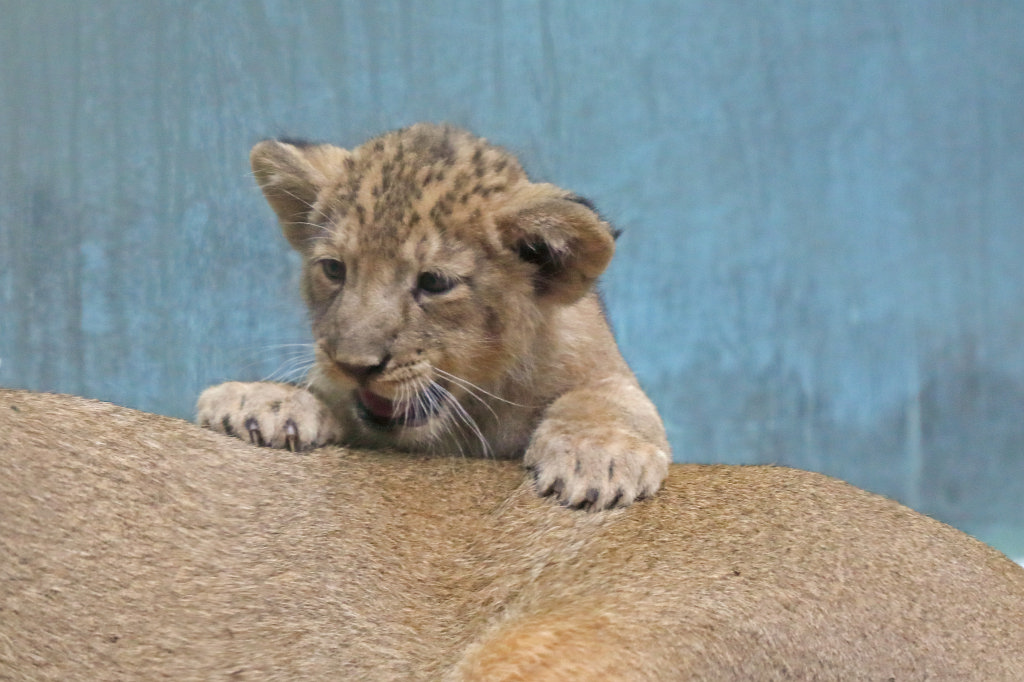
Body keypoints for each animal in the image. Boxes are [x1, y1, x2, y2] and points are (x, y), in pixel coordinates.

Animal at [196, 123, 669, 510]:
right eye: (334, 269)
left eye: (434, 283)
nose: (354, 366)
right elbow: (322, 391)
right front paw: (262, 401)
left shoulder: (603, 369)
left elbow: (605, 398)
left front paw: (598, 455)